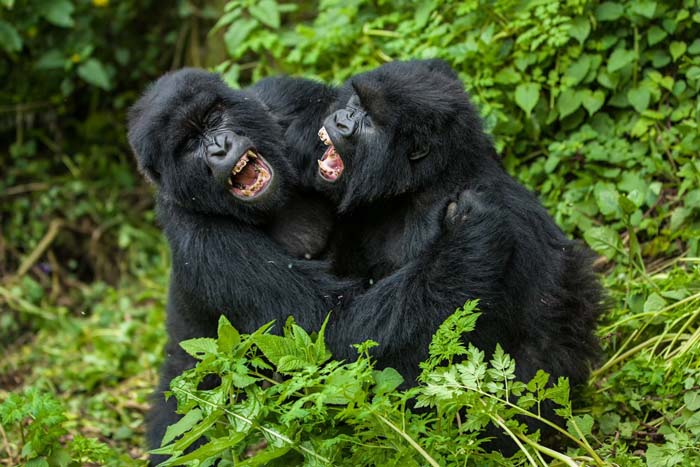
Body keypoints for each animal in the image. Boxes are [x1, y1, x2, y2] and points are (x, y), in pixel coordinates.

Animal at [127, 69, 356, 460]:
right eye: (189, 144)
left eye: (213, 119)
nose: (219, 147)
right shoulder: (199, 238)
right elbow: (320, 320)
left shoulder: (284, 96)